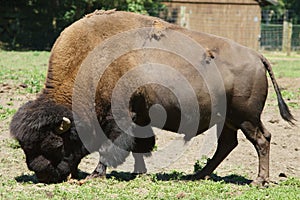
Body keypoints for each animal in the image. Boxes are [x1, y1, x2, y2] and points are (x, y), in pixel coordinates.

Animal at [9, 9, 296, 184]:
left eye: (55, 144)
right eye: (25, 146)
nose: (42, 175)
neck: (90, 61)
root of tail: (257, 56)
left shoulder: (121, 117)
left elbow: (111, 146)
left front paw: (95, 174)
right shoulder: (140, 117)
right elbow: (140, 146)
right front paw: (141, 172)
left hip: (246, 117)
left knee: (261, 139)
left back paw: (259, 180)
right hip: (229, 120)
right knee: (228, 144)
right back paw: (197, 175)